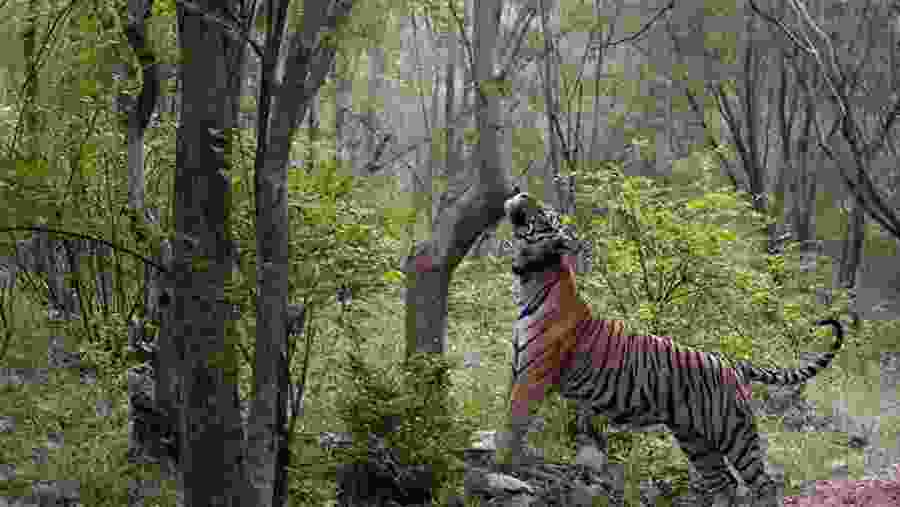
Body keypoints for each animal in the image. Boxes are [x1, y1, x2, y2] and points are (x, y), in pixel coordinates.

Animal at [497, 191, 844, 507]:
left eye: (545, 215)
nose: (522, 193)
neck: (532, 276)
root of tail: (732, 363)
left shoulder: (532, 376)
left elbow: (513, 422)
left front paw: (502, 465)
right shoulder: (518, 369)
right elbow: (506, 415)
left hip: (733, 433)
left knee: (763, 484)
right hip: (695, 440)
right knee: (725, 484)